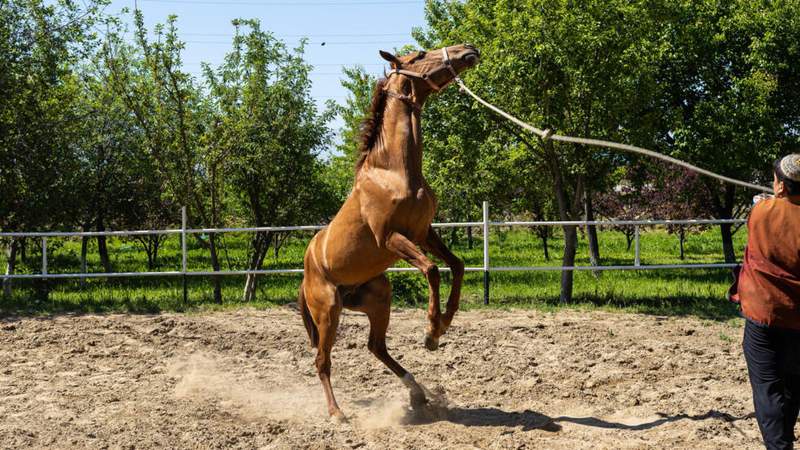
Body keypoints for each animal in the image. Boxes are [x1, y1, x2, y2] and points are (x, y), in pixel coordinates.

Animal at [298, 44, 480, 420]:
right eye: (420, 54)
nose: (468, 50)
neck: (393, 172)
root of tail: (306, 269)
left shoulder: (424, 232)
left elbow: (456, 266)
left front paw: (442, 326)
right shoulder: (392, 239)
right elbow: (432, 270)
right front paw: (431, 330)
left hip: (379, 298)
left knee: (376, 346)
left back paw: (418, 393)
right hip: (328, 310)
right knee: (322, 360)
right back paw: (337, 412)